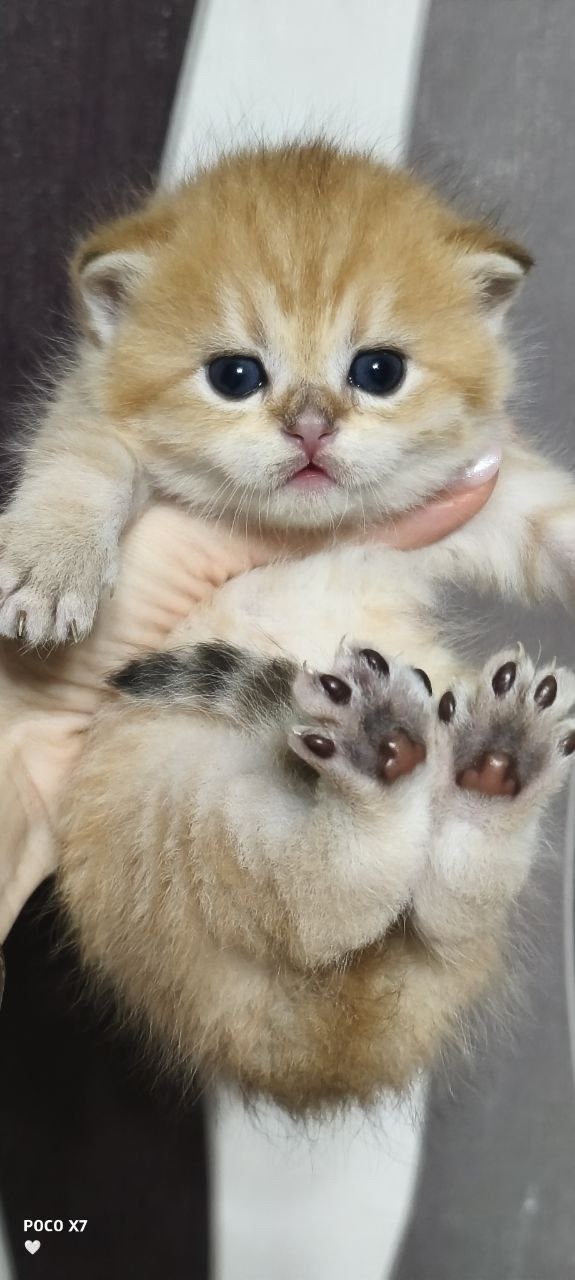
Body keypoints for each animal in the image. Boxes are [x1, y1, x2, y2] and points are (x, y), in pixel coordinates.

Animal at [2, 141, 575, 1112]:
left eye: (378, 371)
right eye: (234, 376)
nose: (310, 427)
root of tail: (328, 1048)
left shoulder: (483, 497)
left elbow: (551, 512)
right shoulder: (91, 418)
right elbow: (79, 462)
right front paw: (50, 561)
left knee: (445, 911)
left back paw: (493, 762)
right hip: (173, 802)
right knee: (326, 898)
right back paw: (391, 753)